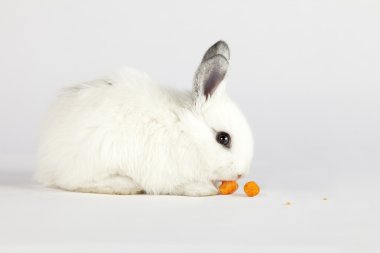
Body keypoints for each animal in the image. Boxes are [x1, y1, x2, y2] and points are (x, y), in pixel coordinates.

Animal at [36, 41, 252, 196]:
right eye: (223, 138)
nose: (241, 172)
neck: (186, 131)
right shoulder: (165, 173)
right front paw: (203, 189)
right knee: (74, 182)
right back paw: (124, 185)